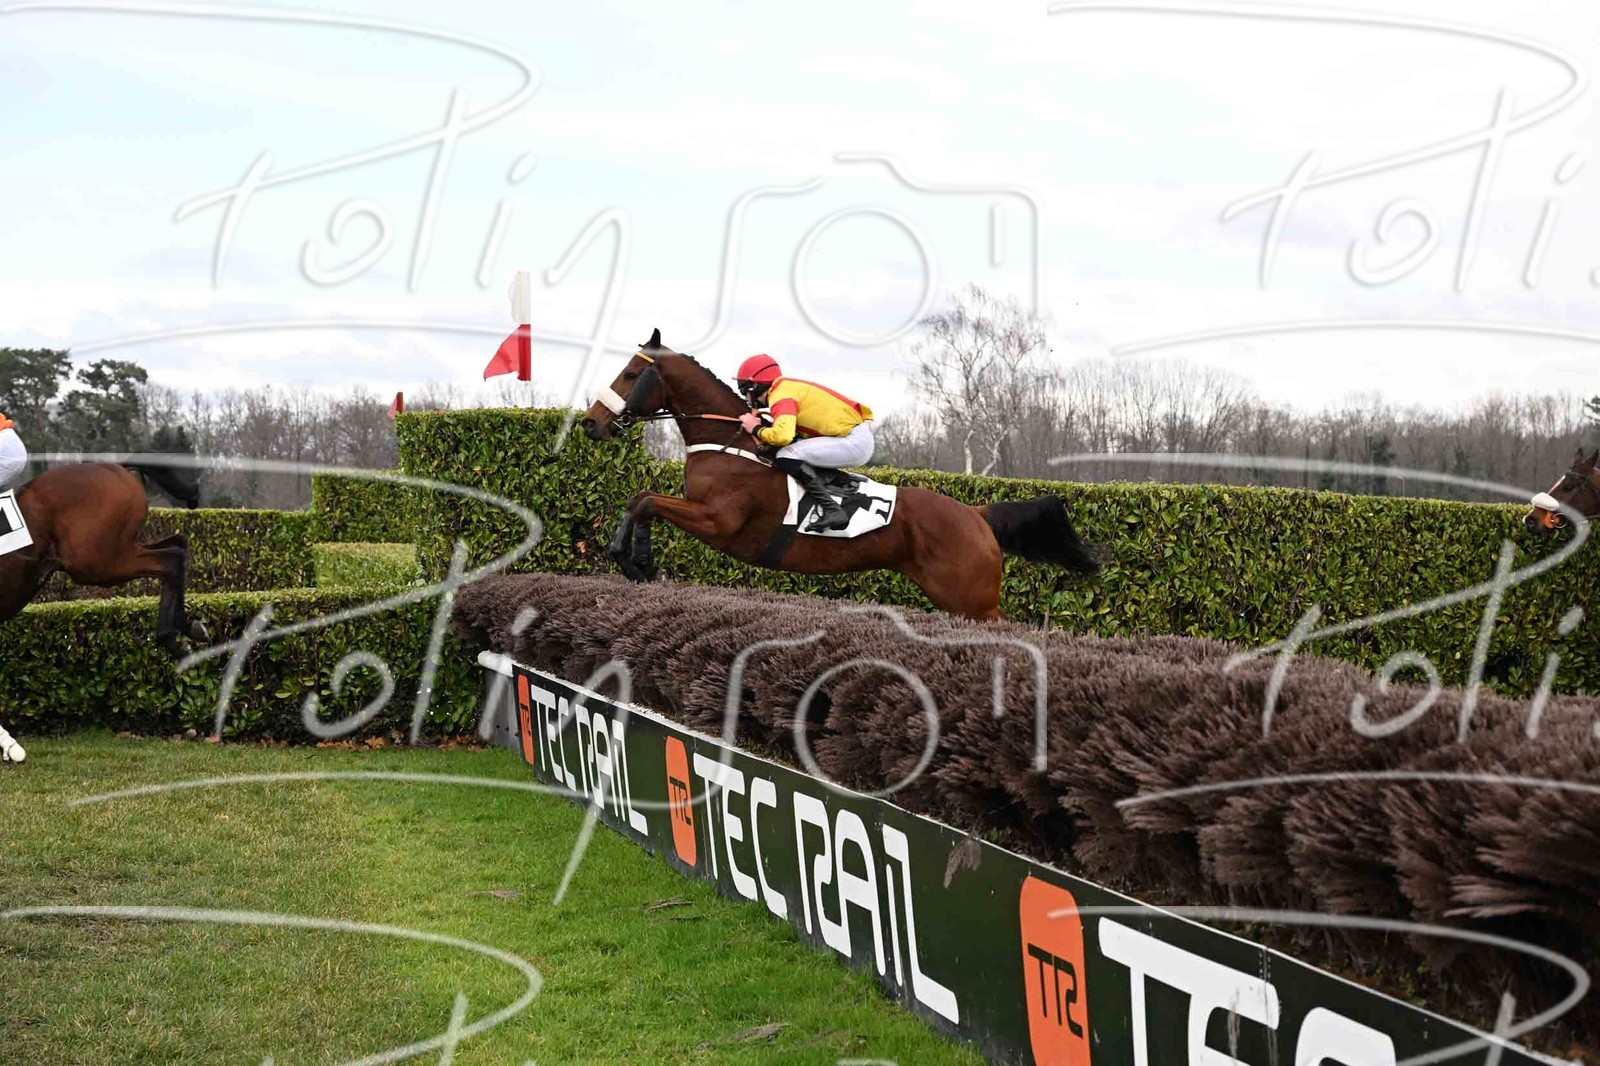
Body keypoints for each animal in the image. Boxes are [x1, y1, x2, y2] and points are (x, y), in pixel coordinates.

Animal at [578, 330, 1100, 621]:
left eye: (630, 374)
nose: (589, 423)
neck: (728, 440)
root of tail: (976, 513)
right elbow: (639, 499)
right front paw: (634, 559)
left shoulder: (718, 522)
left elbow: (648, 500)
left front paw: (635, 560)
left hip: (973, 600)